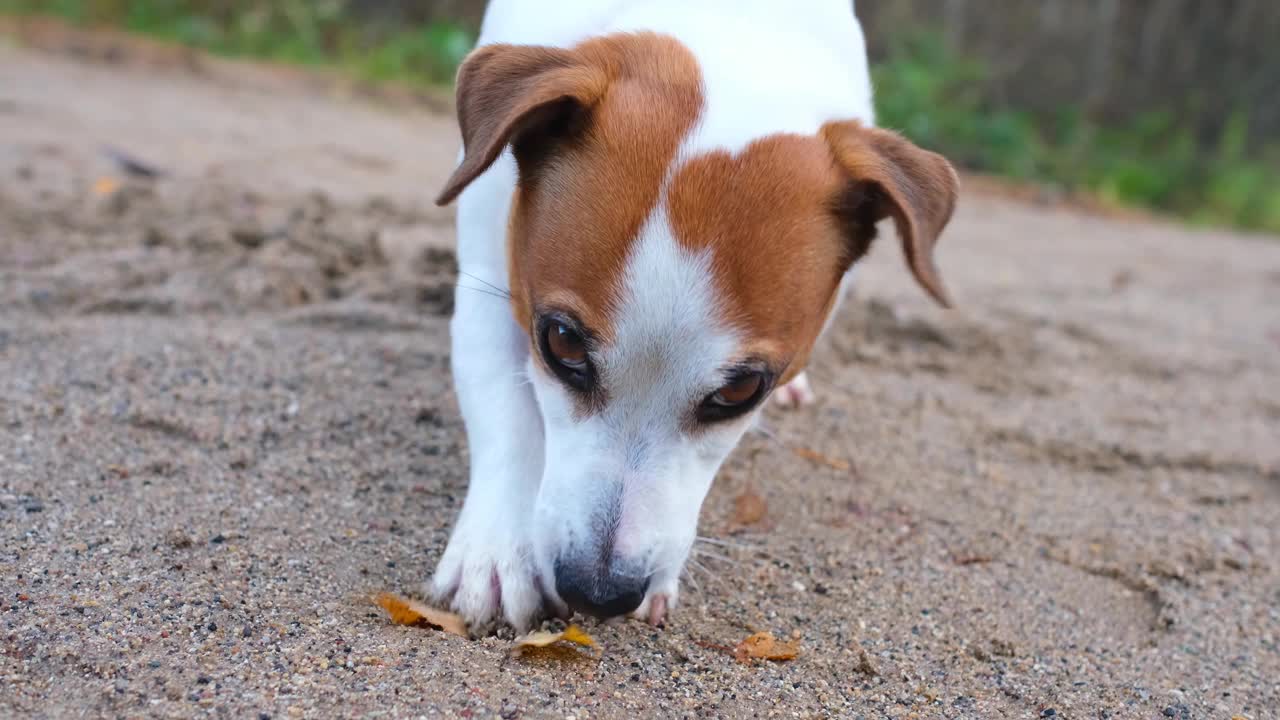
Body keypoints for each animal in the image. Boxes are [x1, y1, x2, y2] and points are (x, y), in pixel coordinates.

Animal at [430, 0, 962, 627]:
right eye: (561, 342)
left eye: (742, 390)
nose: (598, 593)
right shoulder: (492, 280)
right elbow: (506, 408)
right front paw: (494, 552)